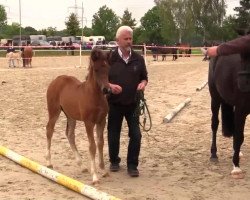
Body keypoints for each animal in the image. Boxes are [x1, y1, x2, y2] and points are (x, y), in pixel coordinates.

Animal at [45, 47, 111, 184]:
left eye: (108, 68)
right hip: (54, 111)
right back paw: (48, 162)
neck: (94, 96)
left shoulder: (102, 121)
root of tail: (56, 80)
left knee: (70, 135)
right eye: (96, 69)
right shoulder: (88, 123)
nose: (106, 90)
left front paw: (103, 170)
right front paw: (95, 176)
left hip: (70, 116)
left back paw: (82, 165)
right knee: (49, 130)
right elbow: (92, 146)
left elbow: (100, 143)